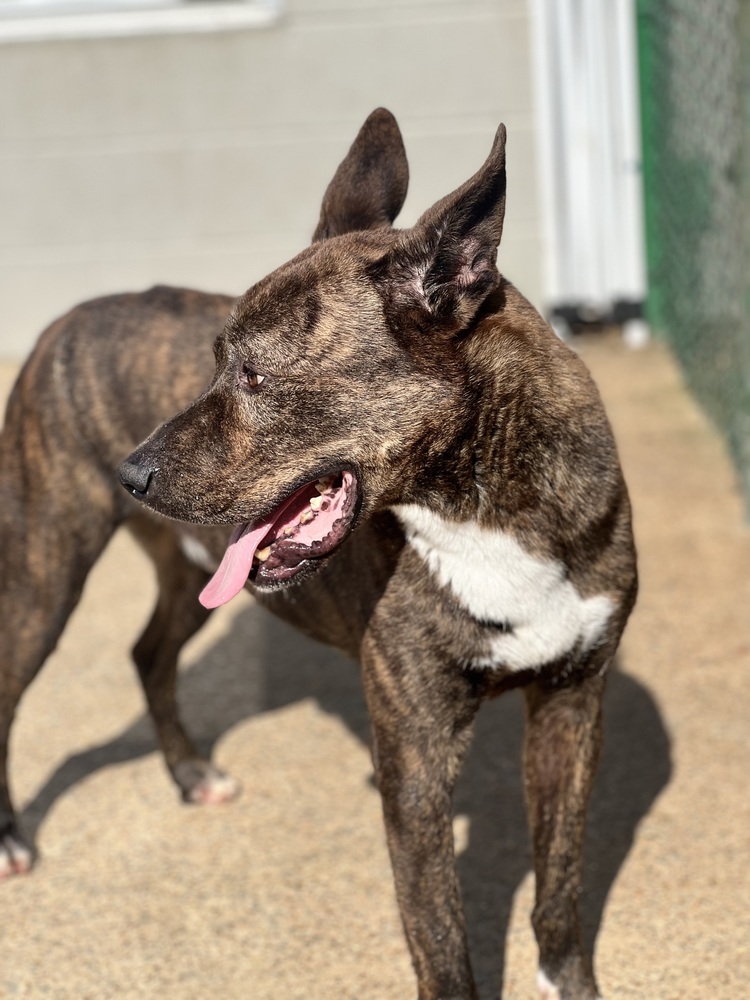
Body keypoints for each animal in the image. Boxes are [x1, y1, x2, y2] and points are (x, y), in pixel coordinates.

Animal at [120, 113, 636, 996]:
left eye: (252, 374)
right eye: (217, 361)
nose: (131, 474)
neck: (486, 504)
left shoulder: (572, 708)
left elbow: (560, 886)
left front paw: (567, 981)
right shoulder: (417, 763)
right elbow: (442, 941)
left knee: (150, 650)